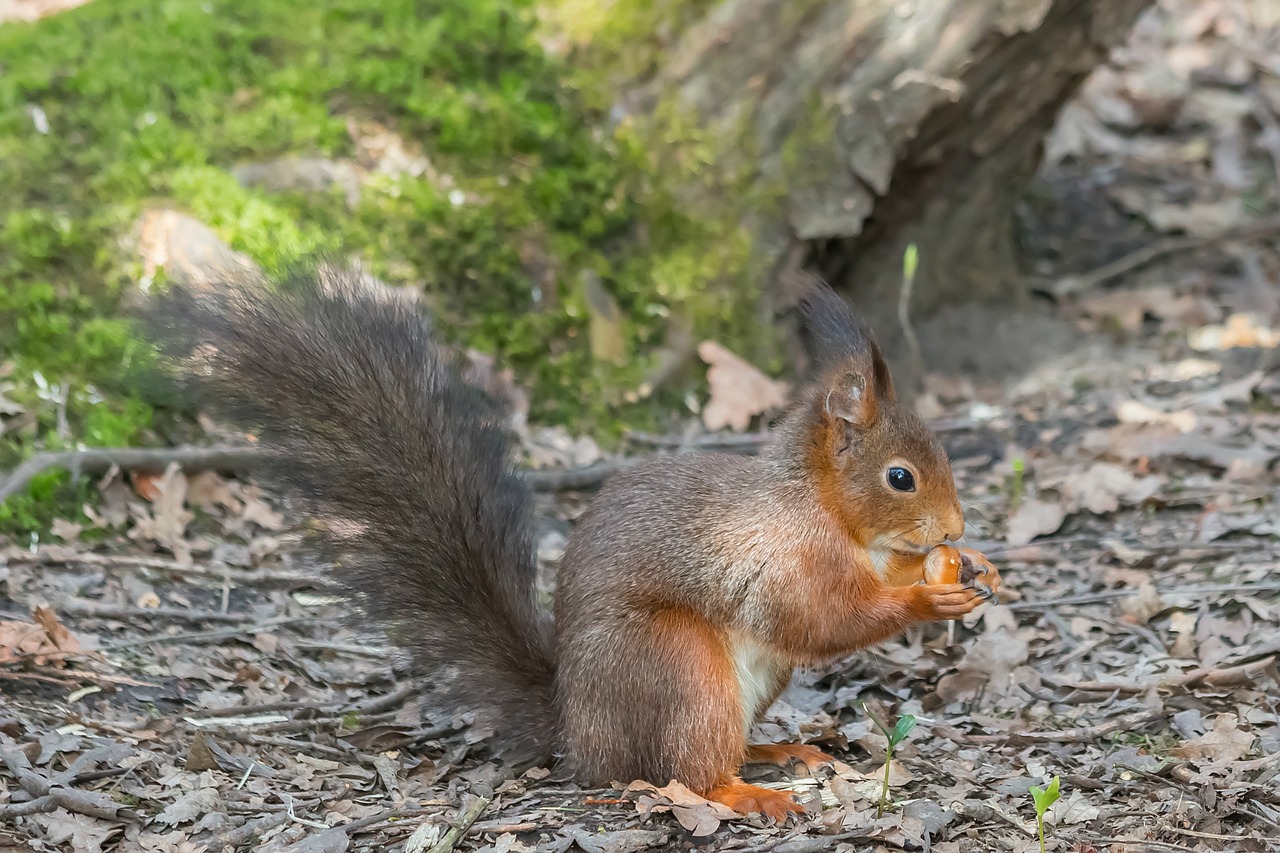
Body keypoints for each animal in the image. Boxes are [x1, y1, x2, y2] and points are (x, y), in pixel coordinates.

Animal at [147, 258, 998, 819]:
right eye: (899, 477)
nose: (955, 526)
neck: (819, 503)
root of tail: (577, 731)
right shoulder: (785, 557)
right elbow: (822, 619)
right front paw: (928, 597)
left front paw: (969, 563)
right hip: (676, 666)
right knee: (680, 770)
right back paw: (750, 791)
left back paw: (776, 752)